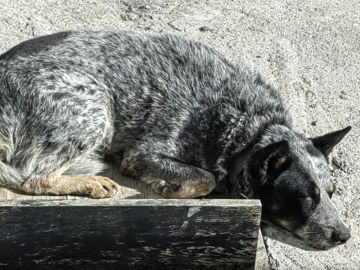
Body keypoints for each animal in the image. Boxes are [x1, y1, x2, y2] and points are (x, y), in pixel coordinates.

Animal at [0, 31, 350, 251]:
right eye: (306, 197)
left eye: (332, 192)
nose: (345, 235)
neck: (244, 129)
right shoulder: (143, 154)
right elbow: (205, 178)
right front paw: (173, 188)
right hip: (94, 104)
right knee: (34, 178)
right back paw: (90, 183)